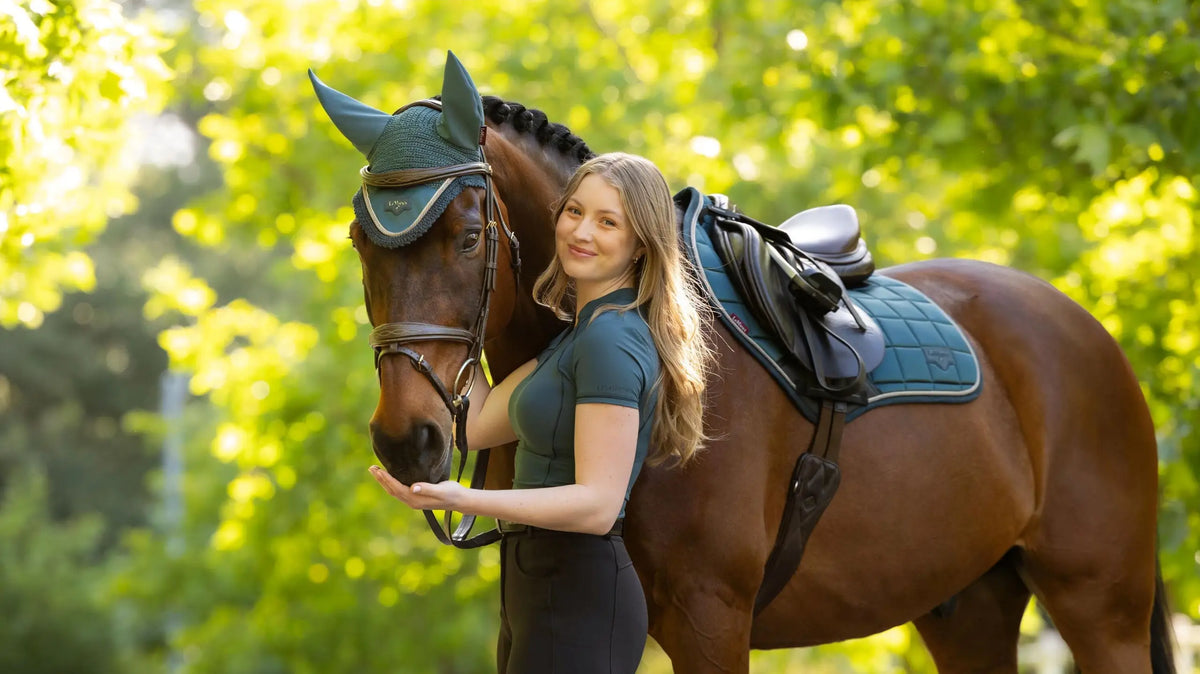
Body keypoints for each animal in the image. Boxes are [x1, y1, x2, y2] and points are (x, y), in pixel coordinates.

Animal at [316, 58, 1175, 672]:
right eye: (361, 242)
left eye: (467, 236)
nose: (408, 441)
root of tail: (1083, 329)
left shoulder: (711, 619)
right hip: (970, 605)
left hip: (1102, 606)